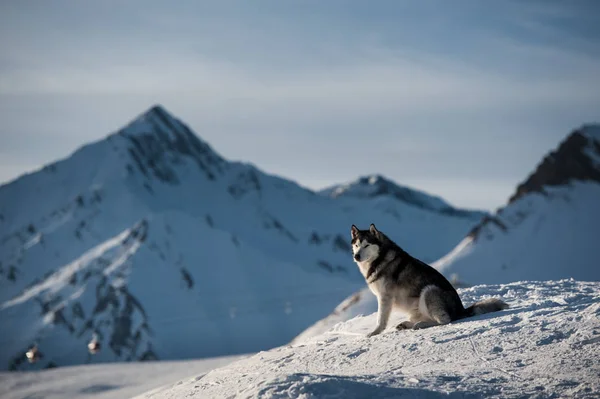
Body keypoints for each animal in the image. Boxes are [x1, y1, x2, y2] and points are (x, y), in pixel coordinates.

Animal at [350, 225, 508, 338]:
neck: (379, 259)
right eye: (357, 245)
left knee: (444, 321)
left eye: (366, 245)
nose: (356, 256)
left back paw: (420, 325)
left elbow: (380, 319)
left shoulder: (385, 297)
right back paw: (407, 324)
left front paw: (374, 333)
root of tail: (461, 309)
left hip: (429, 290)